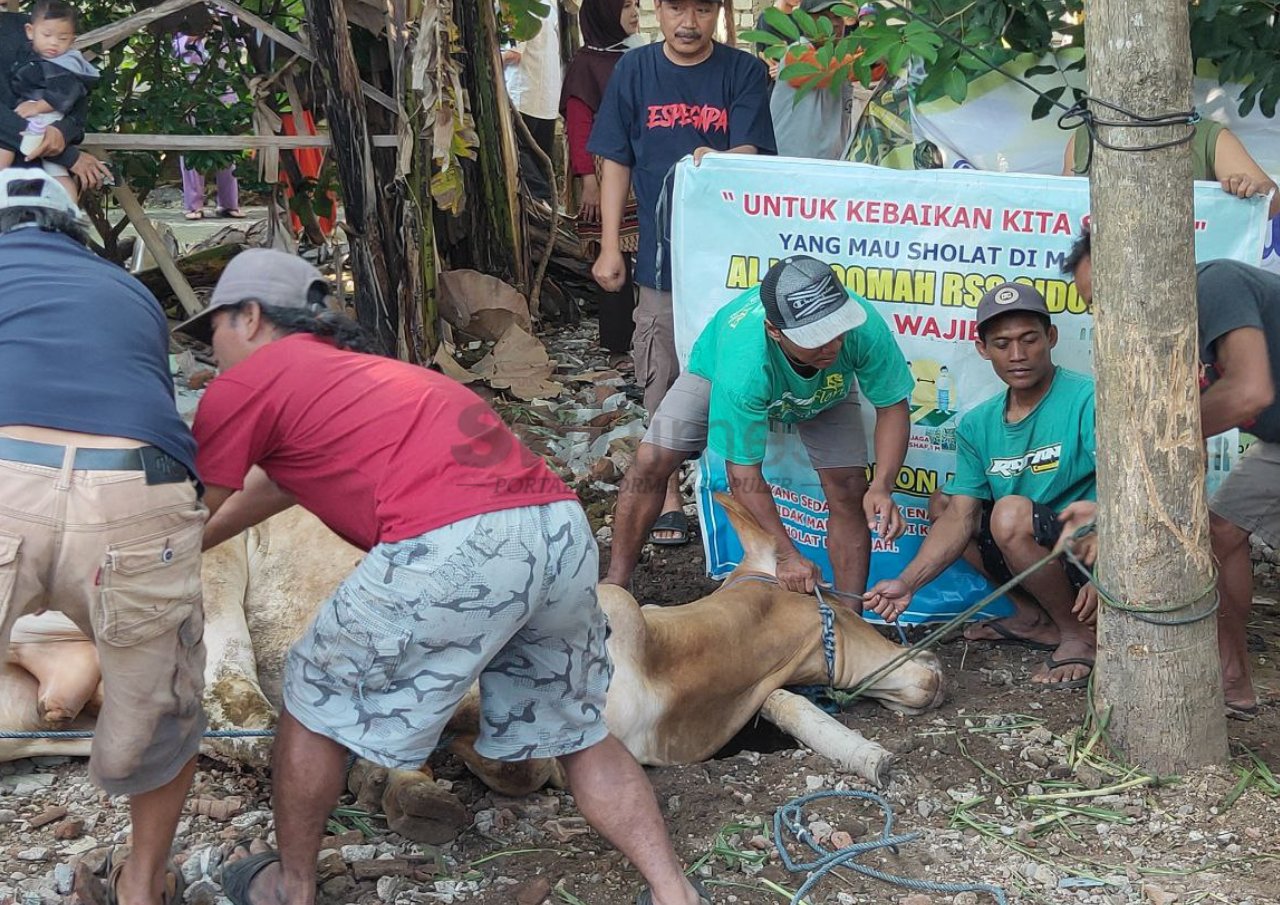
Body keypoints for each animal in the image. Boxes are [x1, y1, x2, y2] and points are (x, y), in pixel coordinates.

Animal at [0, 496, 942, 844]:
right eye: (853, 606)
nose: (932, 670)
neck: (670, 672)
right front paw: (407, 789)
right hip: (206, 566)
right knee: (233, 695)